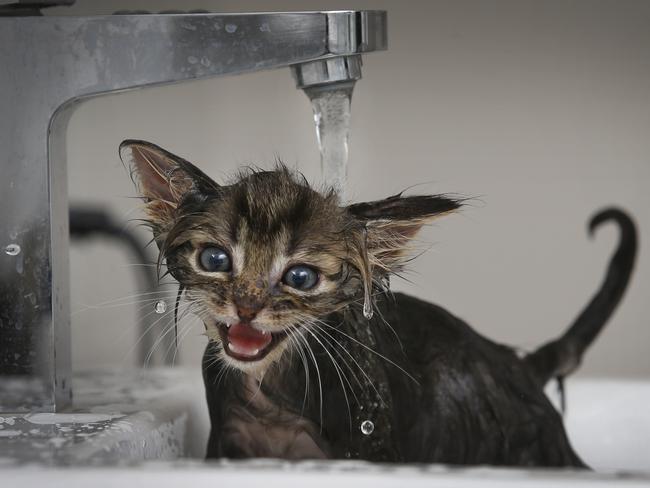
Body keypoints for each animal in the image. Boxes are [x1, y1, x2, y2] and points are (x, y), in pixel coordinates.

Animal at [120, 140, 632, 466]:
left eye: (300, 277)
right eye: (215, 259)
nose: (246, 308)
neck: (271, 394)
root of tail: (514, 364)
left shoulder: (371, 446)